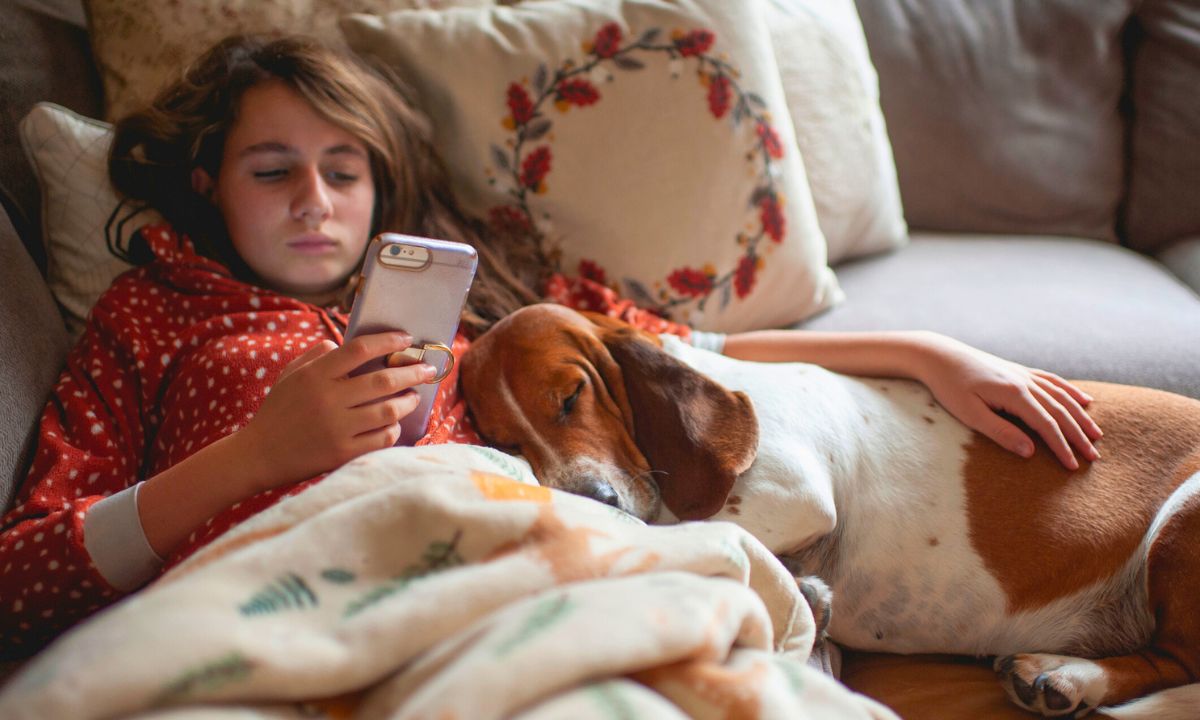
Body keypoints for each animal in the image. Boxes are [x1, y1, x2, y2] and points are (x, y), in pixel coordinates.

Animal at [458, 301, 1200, 715]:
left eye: (570, 397)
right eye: (504, 442)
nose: (594, 501)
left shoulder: (790, 493)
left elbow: (679, 526)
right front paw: (809, 604)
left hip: (1180, 524)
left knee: (1181, 661)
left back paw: (1069, 676)